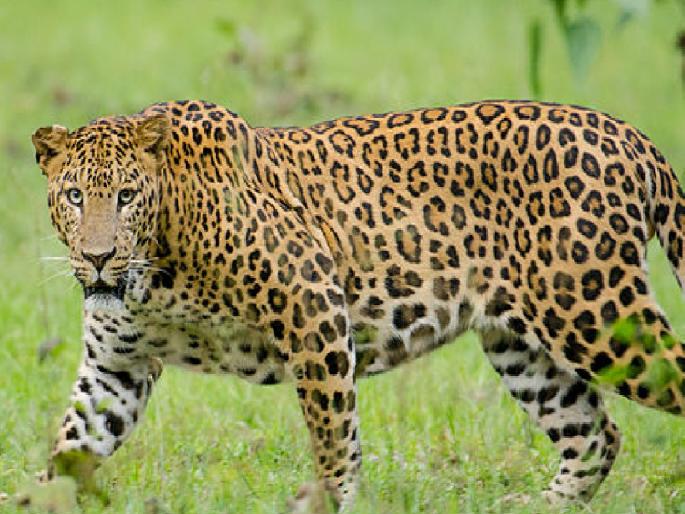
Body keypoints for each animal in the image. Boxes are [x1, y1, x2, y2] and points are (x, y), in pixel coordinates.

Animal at [31, 99, 685, 510]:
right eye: (74, 195)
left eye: (125, 196)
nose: (97, 257)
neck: (154, 272)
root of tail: (629, 135)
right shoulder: (116, 368)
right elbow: (71, 446)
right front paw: (36, 498)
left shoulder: (313, 304)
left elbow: (332, 432)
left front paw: (329, 499)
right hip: (523, 346)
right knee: (595, 435)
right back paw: (536, 506)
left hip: (597, 315)